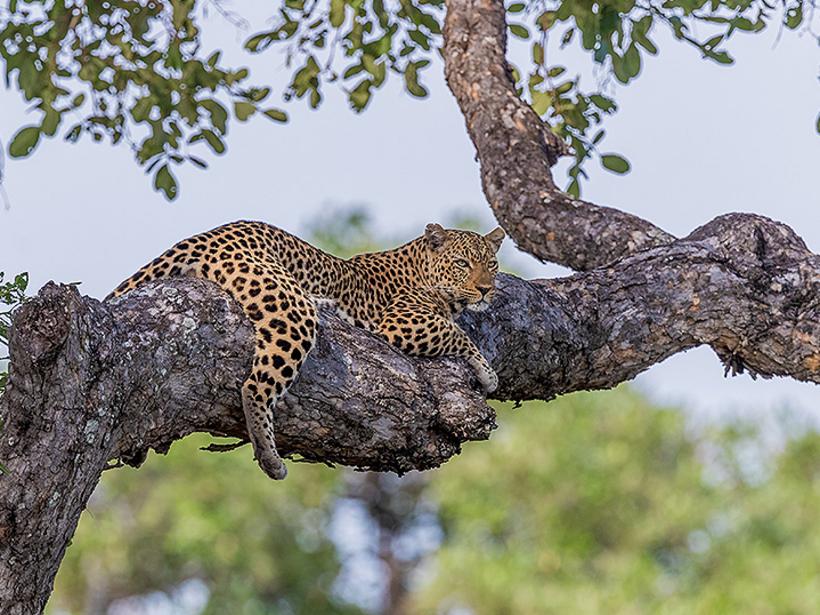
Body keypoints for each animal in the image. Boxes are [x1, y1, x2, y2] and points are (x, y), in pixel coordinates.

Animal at [107, 221, 506, 482]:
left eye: (492, 264)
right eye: (462, 264)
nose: (486, 289)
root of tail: (206, 235)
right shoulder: (399, 325)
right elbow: (457, 333)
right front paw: (487, 372)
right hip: (290, 308)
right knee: (253, 386)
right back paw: (270, 458)